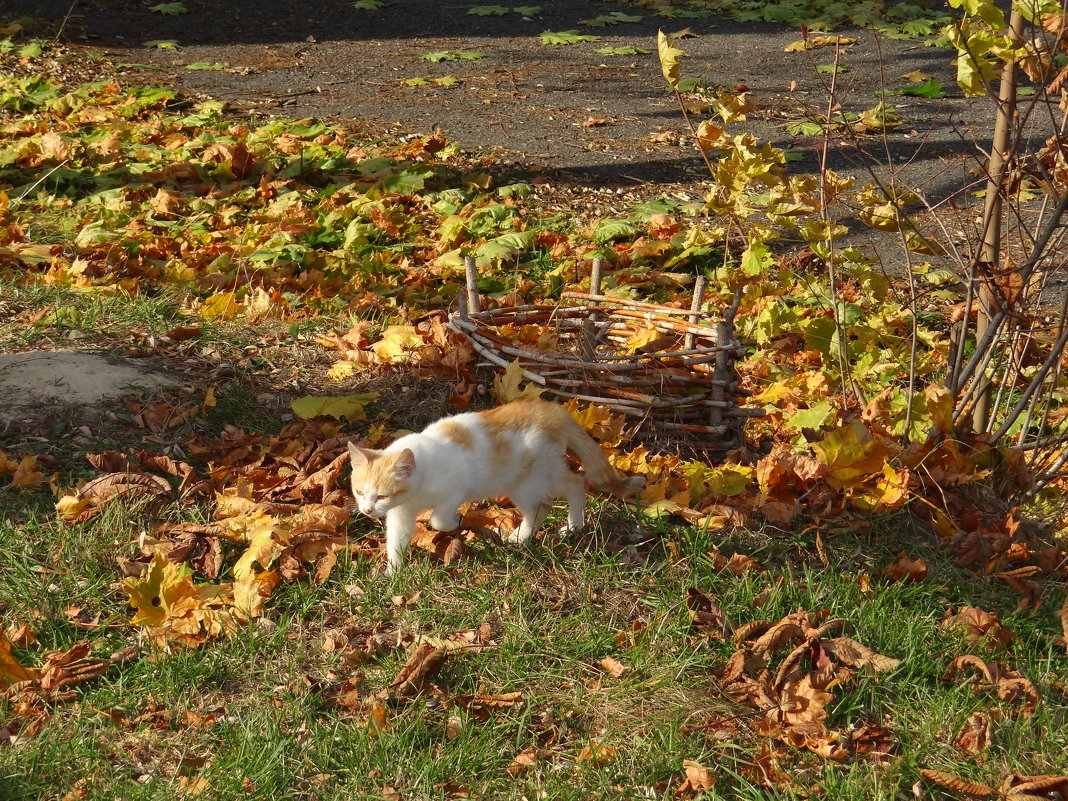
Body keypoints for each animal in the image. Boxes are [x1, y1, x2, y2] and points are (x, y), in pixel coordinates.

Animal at [348, 399, 640, 572]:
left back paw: (572, 526)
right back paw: (521, 537)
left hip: (531, 479)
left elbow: (438, 519)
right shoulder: (401, 513)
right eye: (360, 492)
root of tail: (554, 411)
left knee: (573, 485)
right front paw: (394, 573)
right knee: (543, 506)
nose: (367, 511)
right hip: (525, 483)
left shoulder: (455, 489)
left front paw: (457, 522)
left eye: (382, 495)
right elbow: (396, 540)